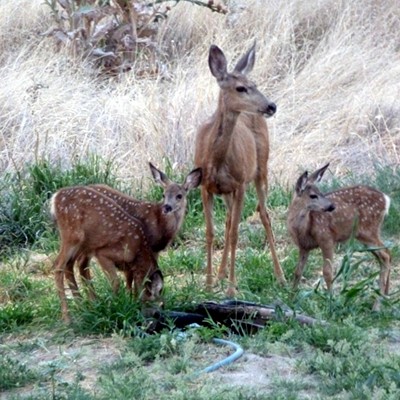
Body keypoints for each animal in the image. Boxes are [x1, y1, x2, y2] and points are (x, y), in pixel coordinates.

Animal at [50, 188, 163, 322]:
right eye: (160, 304)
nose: (158, 315)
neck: (138, 252)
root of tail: (56, 196)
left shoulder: (127, 266)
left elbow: (129, 282)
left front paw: (128, 302)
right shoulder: (103, 253)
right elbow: (116, 282)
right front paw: (113, 307)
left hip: (84, 243)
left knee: (70, 265)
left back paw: (85, 307)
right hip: (73, 236)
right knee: (58, 265)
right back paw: (67, 318)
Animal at [67, 163, 202, 294]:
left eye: (179, 196)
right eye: (163, 195)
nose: (167, 207)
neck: (160, 224)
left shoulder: (154, 250)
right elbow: (134, 275)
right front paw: (133, 296)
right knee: (79, 263)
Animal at [193, 43, 284, 296]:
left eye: (255, 84)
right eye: (241, 88)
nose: (271, 105)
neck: (216, 159)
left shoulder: (241, 183)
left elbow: (235, 233)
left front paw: (232, 289)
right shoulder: (205, 187)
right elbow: (210, 232)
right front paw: (208, 284)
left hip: (261, 169)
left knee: (264, 214)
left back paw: (281, 276)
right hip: (226, 192)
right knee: (227, 220)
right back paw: (220, 274)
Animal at [288, 162, 390, 310]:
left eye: (321, 193)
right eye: (313, 195)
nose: (331, 206)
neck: (303, 229)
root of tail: (385, 199)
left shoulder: (327, 238)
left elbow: (327, 272)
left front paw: (331, 302)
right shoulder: (303, 246)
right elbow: (297, 272)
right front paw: (291, 298)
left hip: (368, 231)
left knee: (386, 254)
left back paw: (377, 306)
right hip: (367, 235)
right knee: (385, 255)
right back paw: (385, 297)